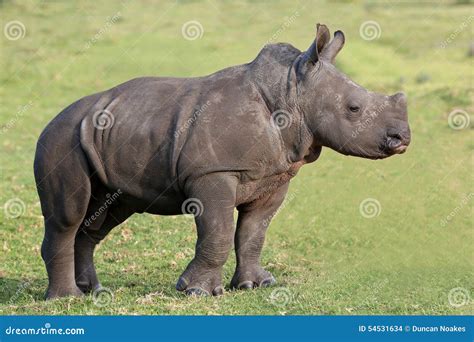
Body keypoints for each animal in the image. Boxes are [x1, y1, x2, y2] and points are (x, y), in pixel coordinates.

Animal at [34, 24, 412, 298]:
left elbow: (253, 233)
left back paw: (93, 291)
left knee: (104, 214)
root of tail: (52, 120)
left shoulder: (275, 176)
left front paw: (255, 285)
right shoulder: (211, 172)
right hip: (61, 139)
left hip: (102, 137)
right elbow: (218, 231)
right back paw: (67, 298)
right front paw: (197, 292)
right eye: (354, 108)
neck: (292, 92)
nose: (403, 138)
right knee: (68, 216)